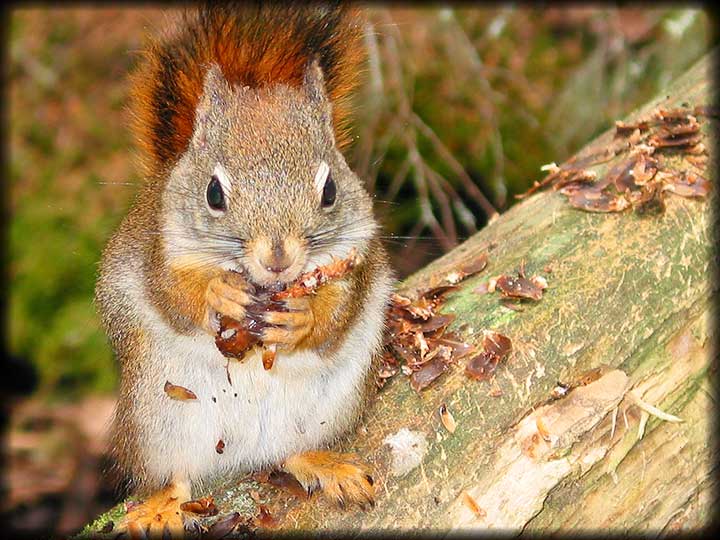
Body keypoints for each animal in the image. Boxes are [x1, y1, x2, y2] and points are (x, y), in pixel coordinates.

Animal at [95, 3, 394, 536]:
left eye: (331, 190)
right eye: (213, 193)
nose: (278, 258)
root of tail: (239, 454)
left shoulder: (356, 256)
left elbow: (340, 311)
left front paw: (303, 319)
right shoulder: (156, 250)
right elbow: (172, 295)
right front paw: (219, 294)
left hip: (328, 405)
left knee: (288, 452)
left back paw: (323, 464)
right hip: (157, 416)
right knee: (177, 475)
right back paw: (162, 504)